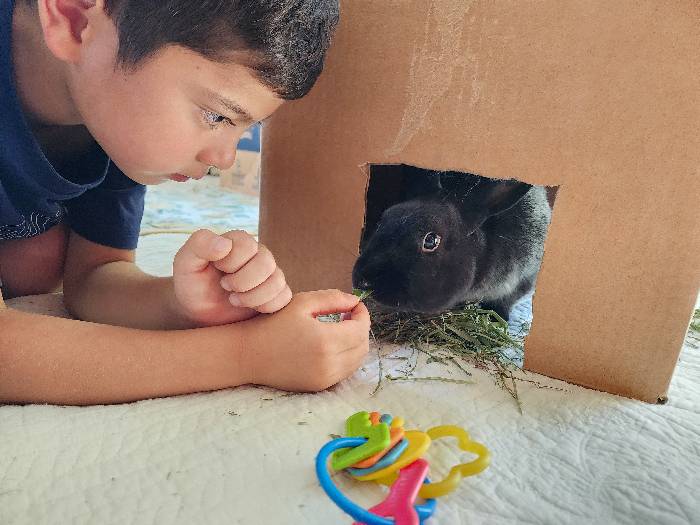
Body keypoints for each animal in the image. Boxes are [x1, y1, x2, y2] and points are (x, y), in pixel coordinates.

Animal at [352, 167, 552, 320]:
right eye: (382, 221)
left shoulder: (524, 278)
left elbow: (507, 300)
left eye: (430, 241)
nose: (363, 280)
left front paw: (496, 318)